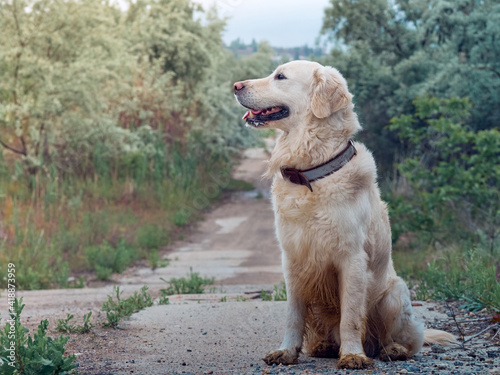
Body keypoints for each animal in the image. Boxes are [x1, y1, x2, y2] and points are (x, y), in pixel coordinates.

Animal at [232, 60, 456, 368]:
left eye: (280, 76)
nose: (235, 86)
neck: (312, 173)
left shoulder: (351, 257)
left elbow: (350, 316)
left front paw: (352, 354)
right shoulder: (292, 258)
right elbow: (292, 315)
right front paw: (286, 351)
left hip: (395, 294)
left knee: (405, 340)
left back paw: (392, 349)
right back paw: (325, 346)